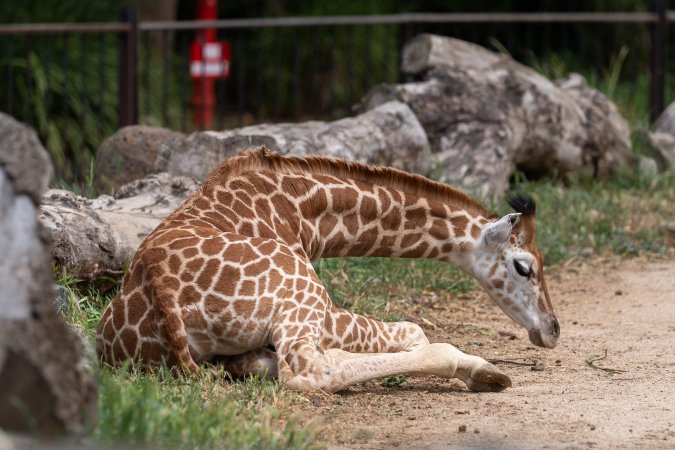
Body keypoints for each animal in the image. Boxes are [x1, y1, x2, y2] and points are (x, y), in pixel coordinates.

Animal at [96, 147, 559, 393]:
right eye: (524, 267)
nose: (552, 330)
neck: (302, 211)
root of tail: (159, 283)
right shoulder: (320, 306)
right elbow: (415, 330)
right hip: (306, 294)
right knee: (309, 368)